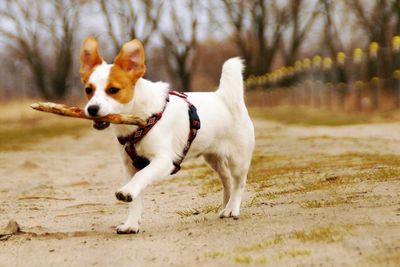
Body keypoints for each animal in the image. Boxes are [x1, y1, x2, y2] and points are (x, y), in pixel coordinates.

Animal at [79, 37, 255, 234]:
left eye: (113, 90)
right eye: (88, 89)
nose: (92, 109)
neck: (141, 119)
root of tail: (223, 96)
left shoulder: (163, 161)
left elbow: (141, 177)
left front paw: (126, 194)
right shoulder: (129, 167)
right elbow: (136, 199)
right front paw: (131, 224)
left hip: (238, 159)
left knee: (239, 182)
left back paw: (233, 208)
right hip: (213, 158)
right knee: (226, 180)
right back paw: (226, 205)